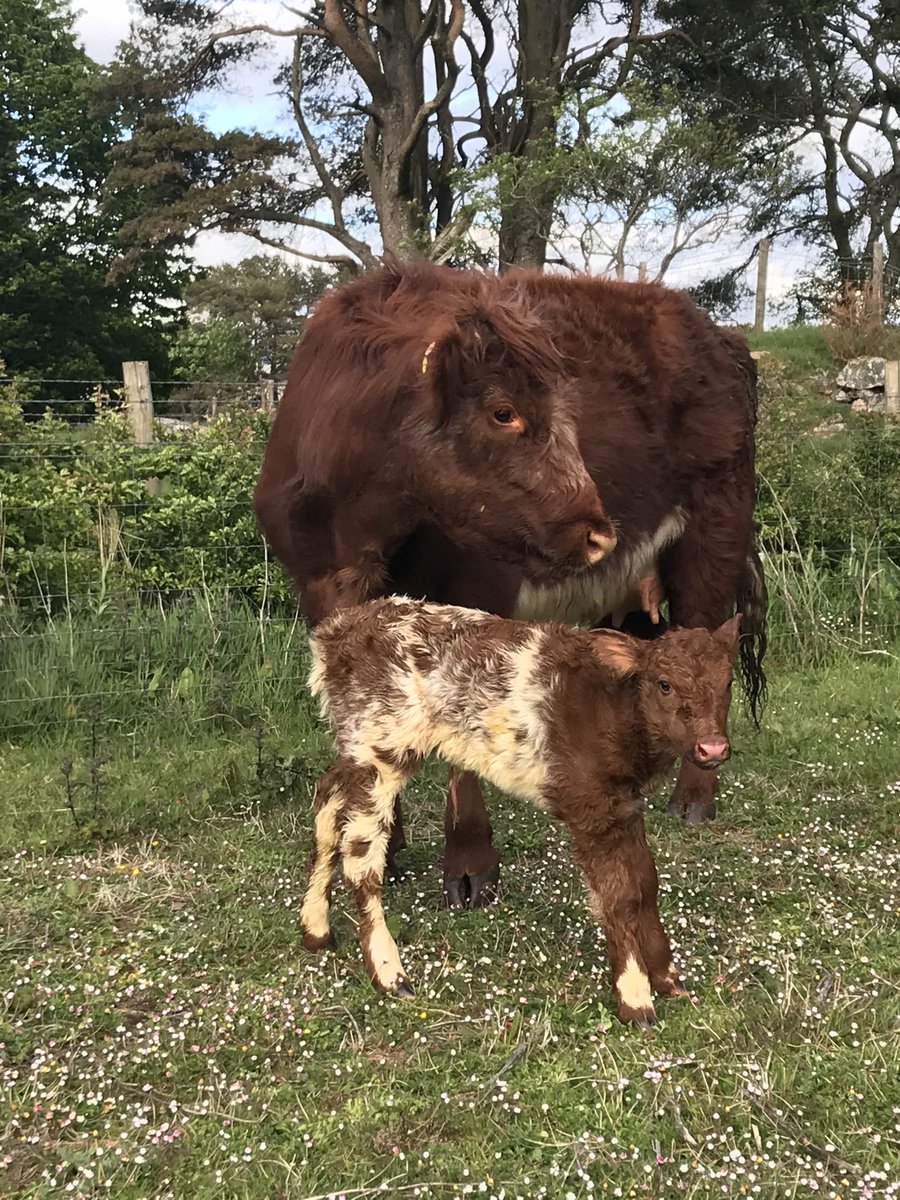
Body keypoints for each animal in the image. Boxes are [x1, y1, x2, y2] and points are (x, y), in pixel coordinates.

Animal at [254, 259, 767, 910]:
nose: (598, 531)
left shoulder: (474, 595)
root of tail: (714, 333)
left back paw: (693, 798)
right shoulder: (321, 594)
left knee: (706, 645)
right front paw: (380, 848)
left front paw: (470, 863)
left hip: (712, 539)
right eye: (504, 411)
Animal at [300, 596, 741, 1027]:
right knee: (361, 861)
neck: (615, 707)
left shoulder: (625, 804)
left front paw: (668, 978)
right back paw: (390, 973)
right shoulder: (590, 805)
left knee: (326, 800)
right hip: (380, 746)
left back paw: (316, 930)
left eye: (728, 682)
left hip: (358, 751)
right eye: (664, 684)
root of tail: (336, 632)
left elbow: (647, 884)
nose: (712, 749)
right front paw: (636, 1000)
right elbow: (621, 897)